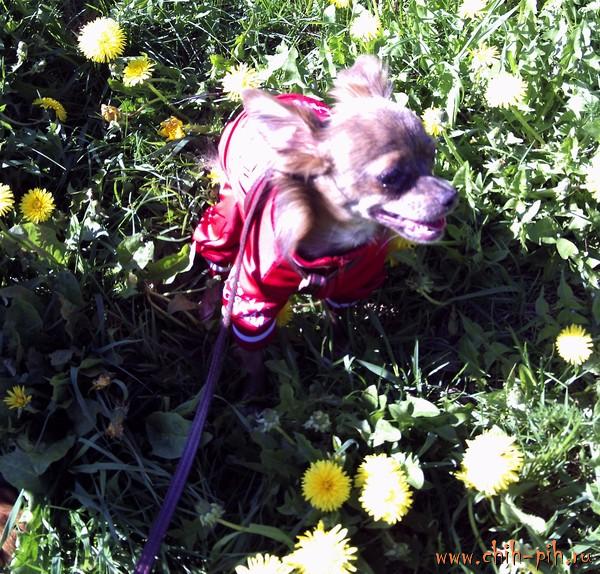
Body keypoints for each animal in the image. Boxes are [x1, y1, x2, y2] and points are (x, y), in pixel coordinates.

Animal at [193, 56, 457, 389]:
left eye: (433, 155)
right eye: (390, 177)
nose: (452, 196)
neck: (335, 245)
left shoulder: (351, 284)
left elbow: (338, 320)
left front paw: (340, 351)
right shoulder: (252, 300)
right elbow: (253, 355)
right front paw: (257, 391)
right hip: (226, 218)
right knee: (215, 256)